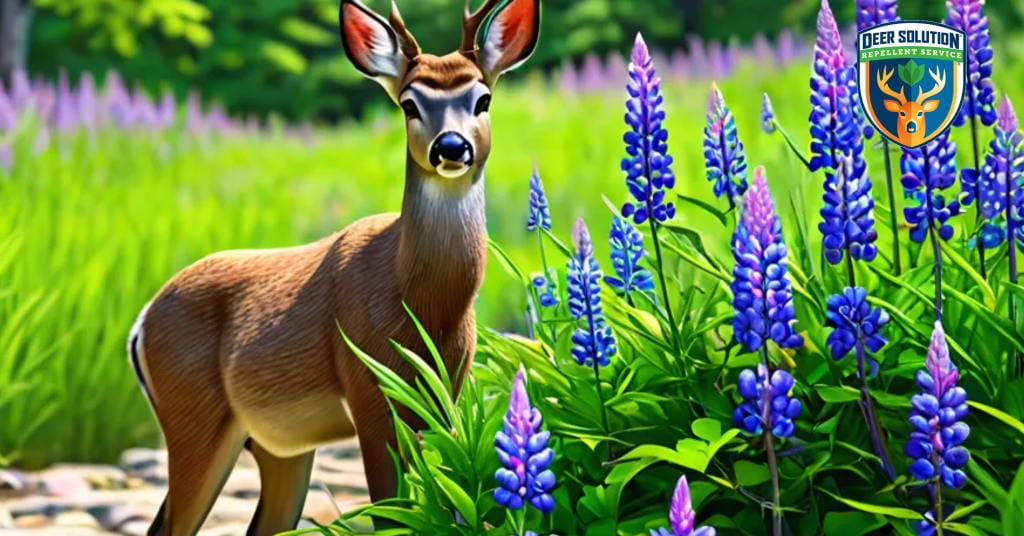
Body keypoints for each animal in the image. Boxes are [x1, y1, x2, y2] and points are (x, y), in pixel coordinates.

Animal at [125, 0, 540, 534]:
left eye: (482, 99)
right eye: (409, 104)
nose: (451, 148)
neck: (421, 304)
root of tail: (141, 322)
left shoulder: (444, 393)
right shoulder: (369, 389)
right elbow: (391, 511)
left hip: (277, 444)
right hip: (193, 416)